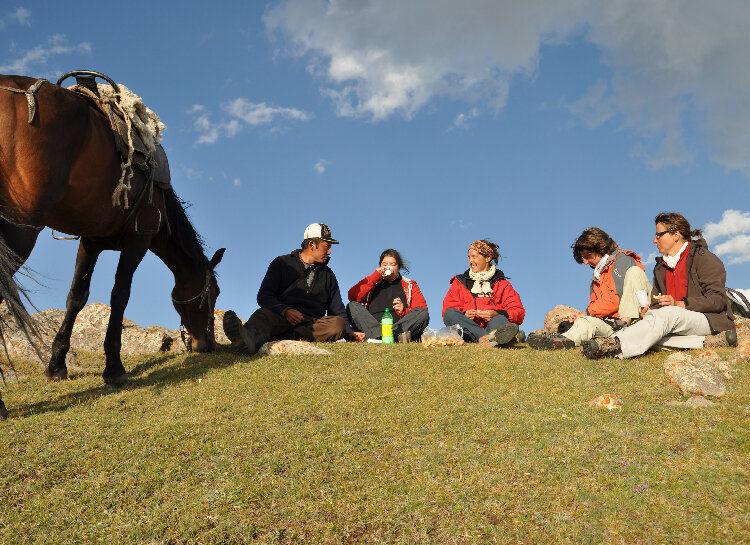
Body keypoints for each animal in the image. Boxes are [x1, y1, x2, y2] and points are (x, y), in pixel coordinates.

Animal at [0, 74, 223, 416]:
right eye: (212, 294)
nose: (206, 344)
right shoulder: (139, 239)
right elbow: (120, 295)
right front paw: (114, 368)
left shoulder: (91, 242)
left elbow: (76, 297)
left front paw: (56, 366)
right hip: (21, 232)